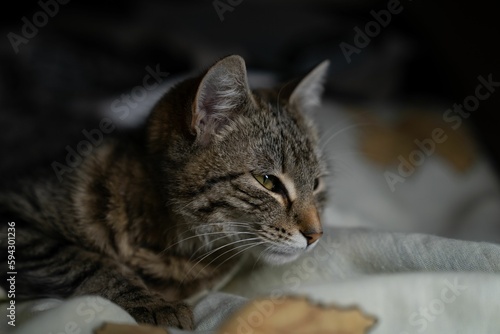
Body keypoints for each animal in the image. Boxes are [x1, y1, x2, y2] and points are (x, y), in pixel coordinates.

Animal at [0, 54, 332, 328]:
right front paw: (150, 302)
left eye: (316, 184)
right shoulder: (15, 219)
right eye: (267, 181)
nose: (316, 235)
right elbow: (84, 261)